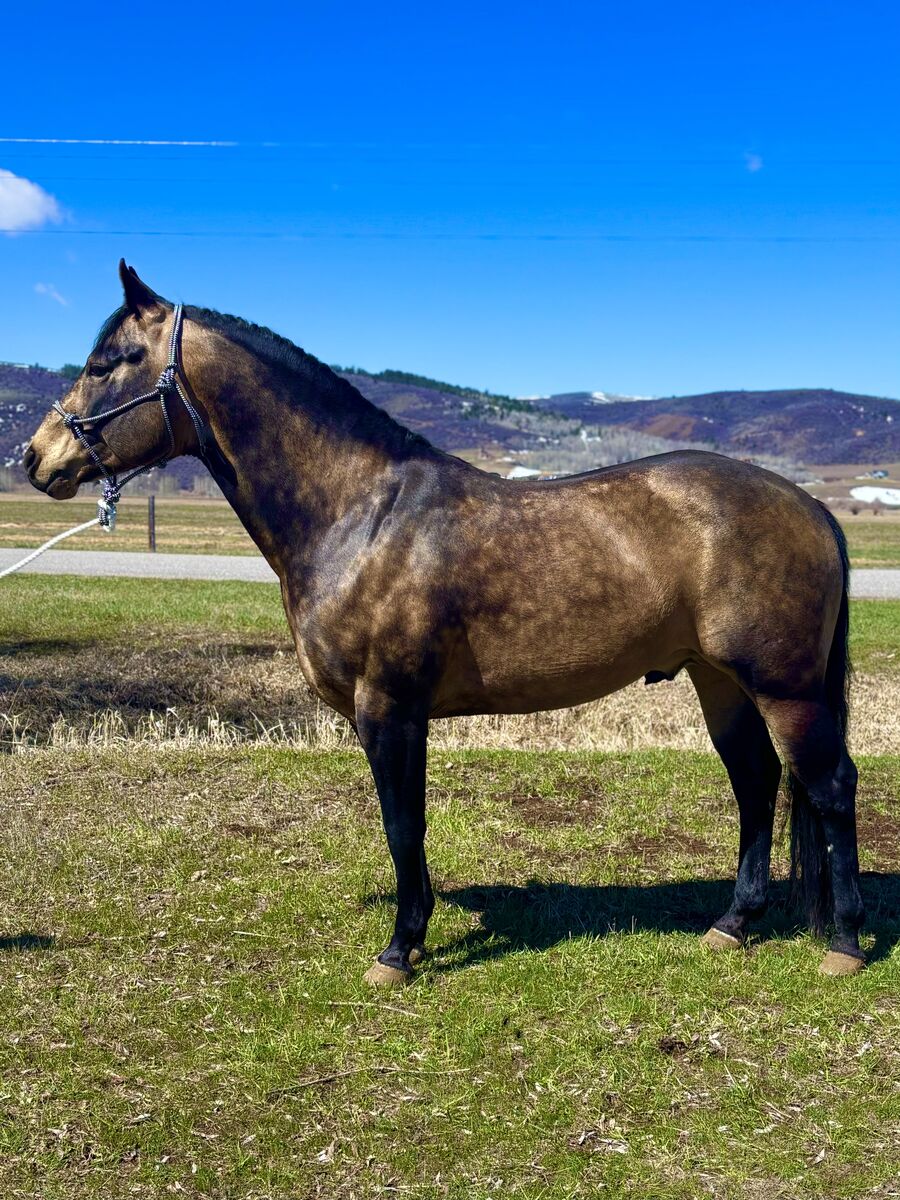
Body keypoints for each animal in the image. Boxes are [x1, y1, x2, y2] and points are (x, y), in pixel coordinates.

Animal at [24, 261, 866, 984]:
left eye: (112, 361)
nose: (35, 458)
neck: (362, 514)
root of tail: (811, 507)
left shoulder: (389, 708)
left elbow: (403, 825)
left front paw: (400, 950)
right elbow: (412, 824)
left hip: (784, 688)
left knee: (827, 785)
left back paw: (847, 943)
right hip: (717, 679)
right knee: (756, 783)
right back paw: (733, 923)